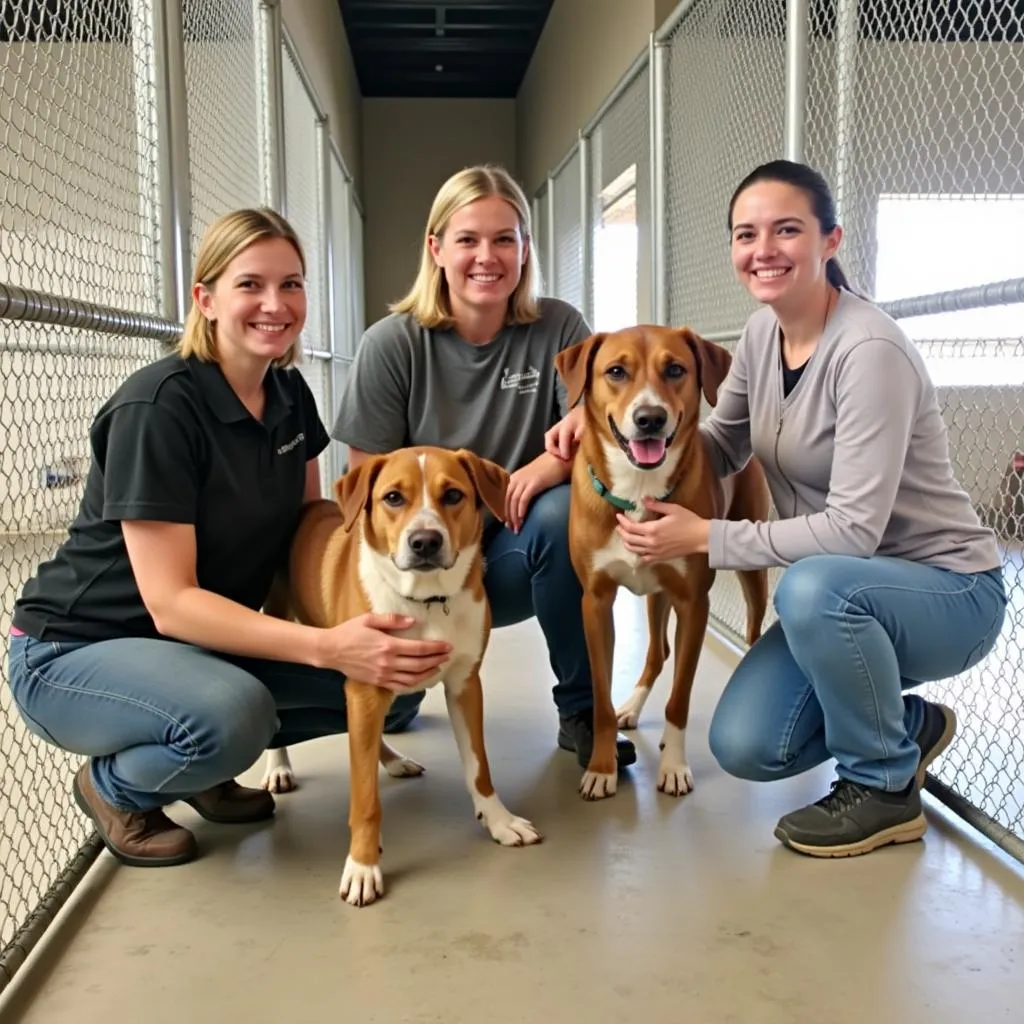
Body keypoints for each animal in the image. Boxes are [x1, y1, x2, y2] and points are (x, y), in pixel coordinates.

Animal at [260, 444, 540, 909]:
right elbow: (364, 799)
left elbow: (478, 768)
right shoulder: (365, 689)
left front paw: (499, 820)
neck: (426, 601)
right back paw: (279, 767)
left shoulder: (465, 685)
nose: (424, 541)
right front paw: (362, 865)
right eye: (393, 498)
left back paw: (393, 761)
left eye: (453, 495)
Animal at [552, 323, 770, 802]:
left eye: (675, 370)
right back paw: (632, 707)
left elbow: (680, 698)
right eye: (616, 371)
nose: (649, 418)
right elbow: (600, 698)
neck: (638, 490)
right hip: (654, 594)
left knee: (751, 629)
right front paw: (602, 767)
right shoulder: (595, 601)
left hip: (751, 572)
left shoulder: (693, 603)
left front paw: (674, 767)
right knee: (657, 651)